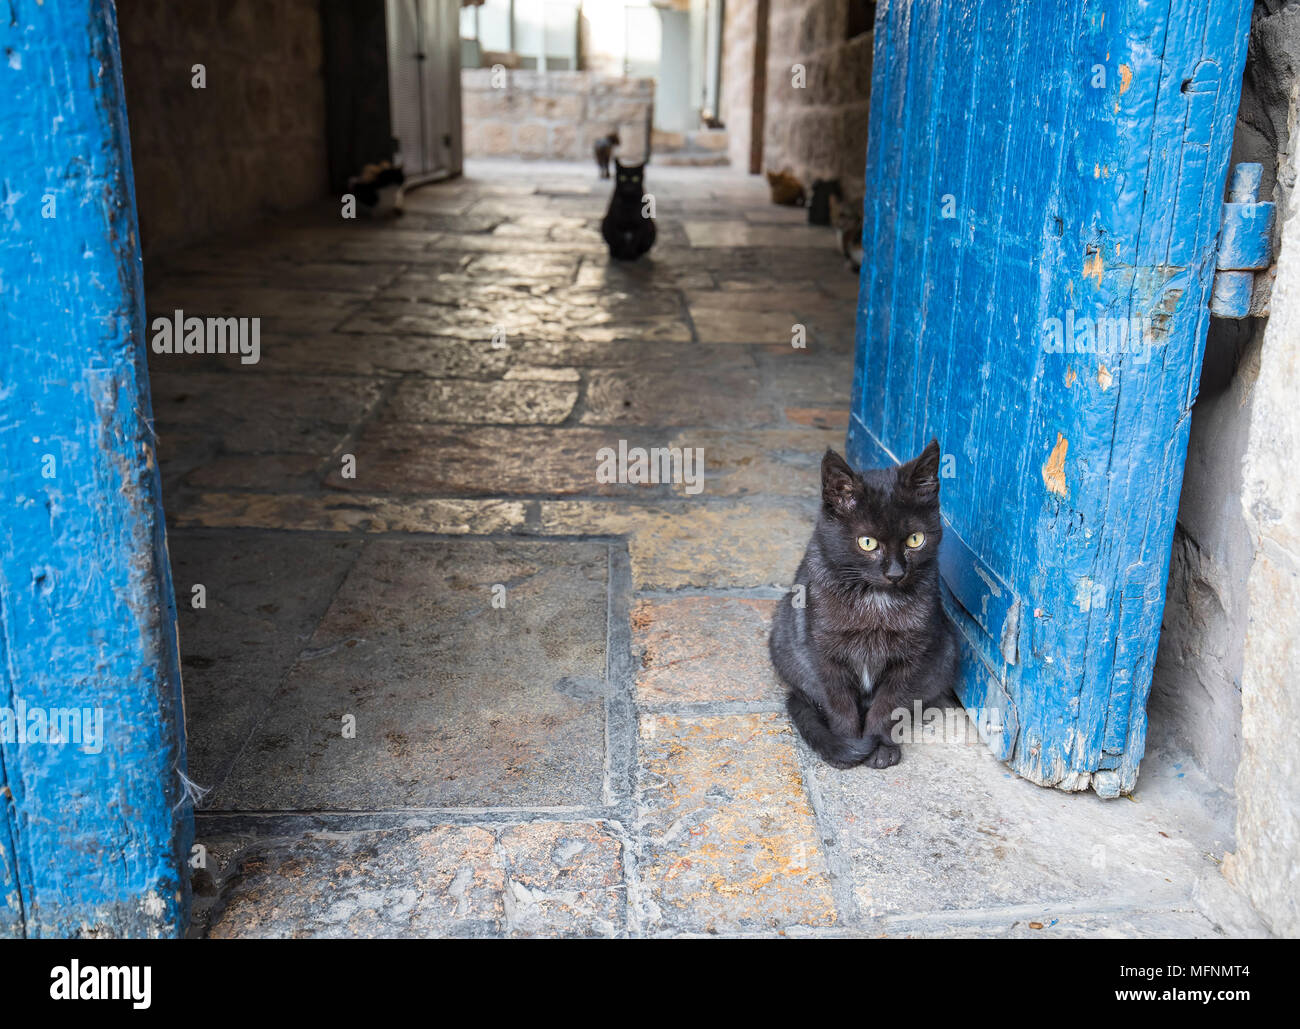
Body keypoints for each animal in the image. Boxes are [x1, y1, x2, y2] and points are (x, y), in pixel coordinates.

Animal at [764, 439, 961, 769]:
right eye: (867, 543)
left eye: (915, 539)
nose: (895, 573)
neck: (875, 600)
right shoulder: (823, 652)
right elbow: (839, 702)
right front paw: (848, 745)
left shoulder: (911, 657)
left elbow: (889, 704)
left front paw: (880, 745)